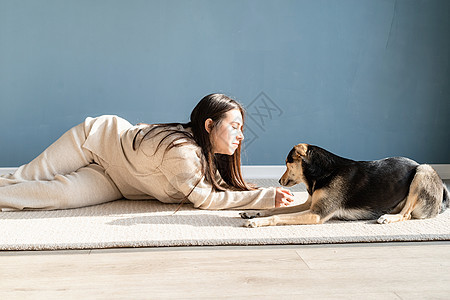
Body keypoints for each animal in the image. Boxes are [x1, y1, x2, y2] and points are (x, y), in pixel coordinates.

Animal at [241, 144, 448, 227]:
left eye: (287, 163)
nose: (279, 182)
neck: (322, 173)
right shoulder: (310, 205)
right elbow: (274, 210)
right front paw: (253, 213)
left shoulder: (317, 214)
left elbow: (277, 216)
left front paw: (255, 221)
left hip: (423, 170)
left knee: (406, 214)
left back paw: (387, 218)